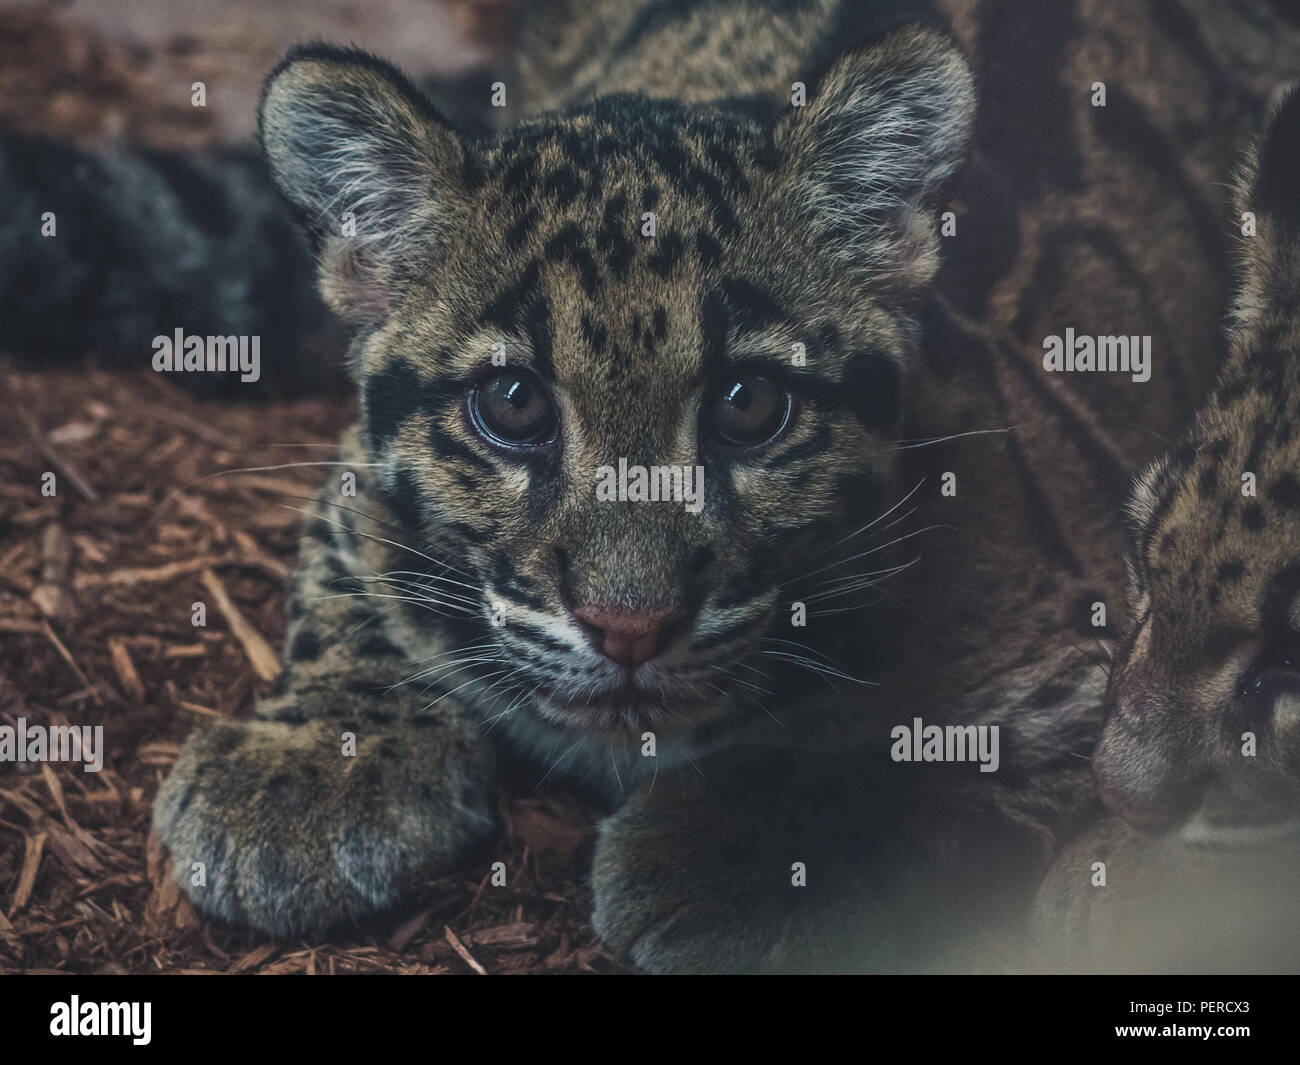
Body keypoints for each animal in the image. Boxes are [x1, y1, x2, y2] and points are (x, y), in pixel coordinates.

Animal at [137, 0, 1300, 972]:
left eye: (749, 404)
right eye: (511, 403)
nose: (629, 626)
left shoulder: (1101, 656)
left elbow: (974, 754)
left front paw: (737, 848)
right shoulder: (354, 485)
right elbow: (356, 581)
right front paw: (306, 767)